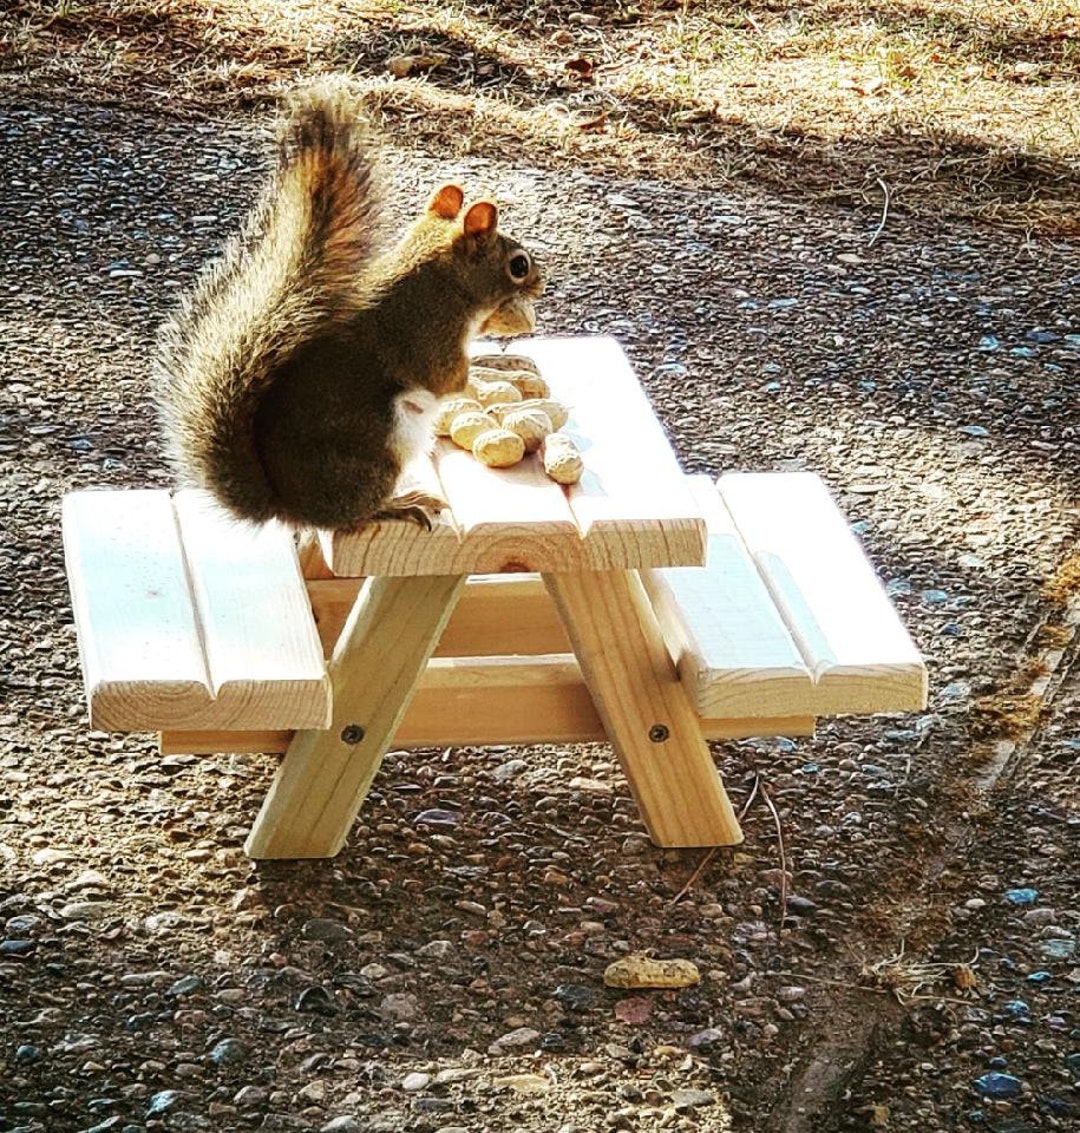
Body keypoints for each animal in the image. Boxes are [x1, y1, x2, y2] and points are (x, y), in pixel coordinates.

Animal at [154, 85, 544, 532]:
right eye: (519, 266)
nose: (541, 284)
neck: (443, 281)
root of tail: (291, 507)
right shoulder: (431, 337)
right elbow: (455, 380)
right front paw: (494, 375)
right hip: (376, 453)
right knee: (352, 515)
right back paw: (399, 504)